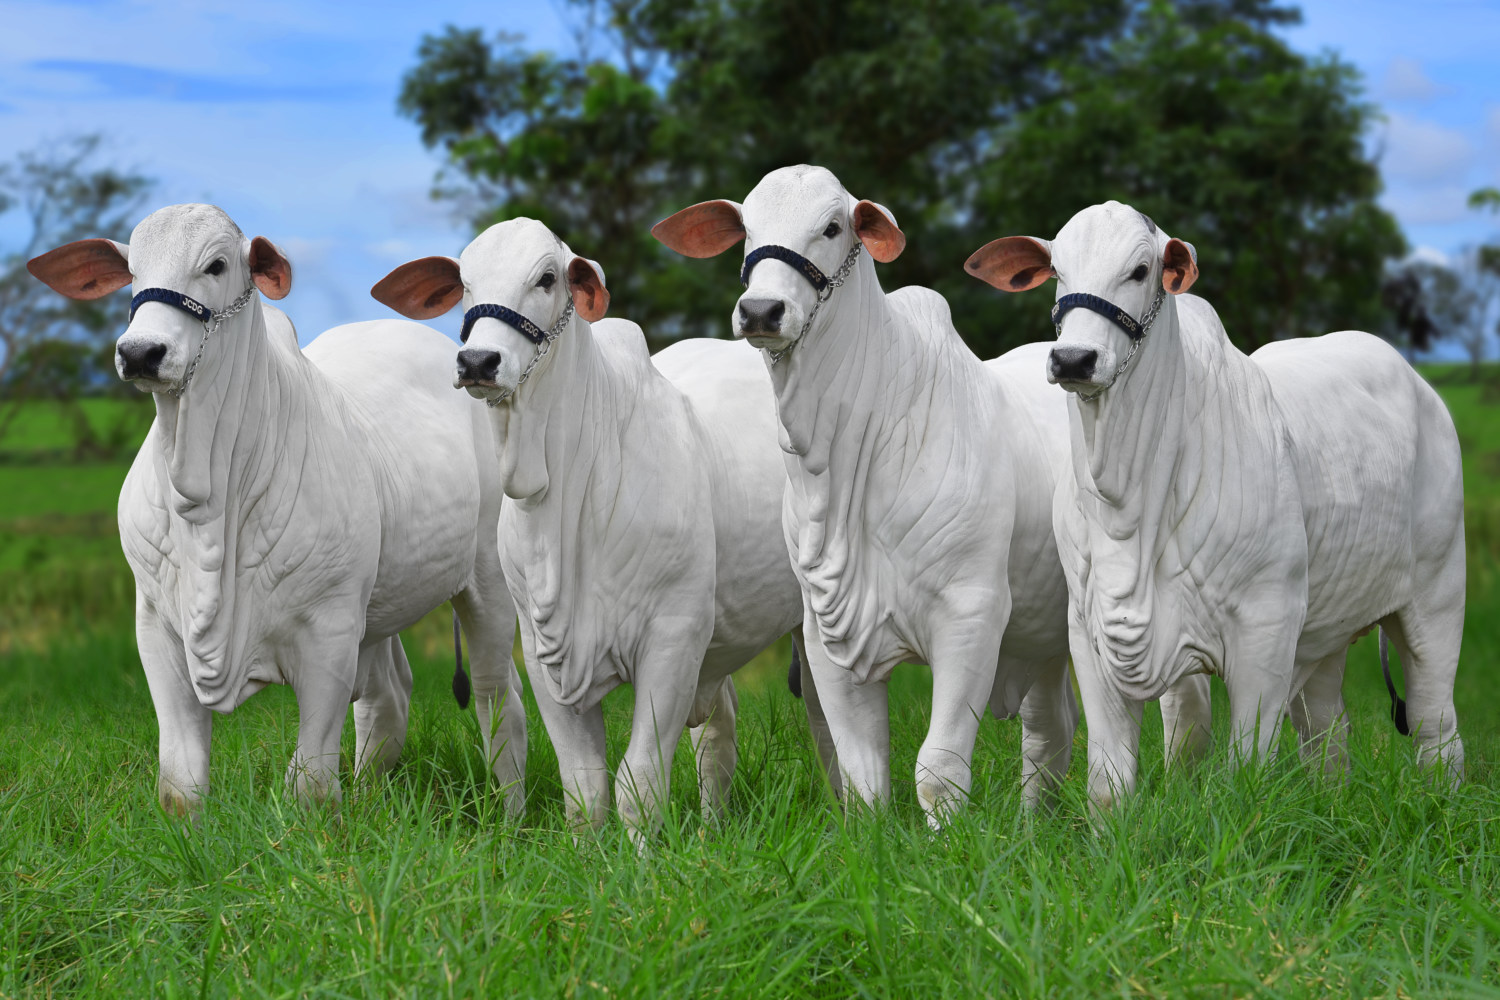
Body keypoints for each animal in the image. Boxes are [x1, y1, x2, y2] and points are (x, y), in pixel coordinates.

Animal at [24, 205, 534, 821]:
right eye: (132, 271)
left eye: (217, 265)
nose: (140, 352)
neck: (207, 500)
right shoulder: (155, 628)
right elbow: (180, 786)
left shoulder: (330, 631)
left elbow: (309, 785)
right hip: (381, 603)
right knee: (389, 695)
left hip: (486, 582)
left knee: (496, 696)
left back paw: (510, 816)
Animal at [372, 220, 822, 845]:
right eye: (464, 282)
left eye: (546, 277)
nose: (478, 361)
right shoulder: (544, 656)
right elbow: (584, 789)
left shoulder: (674, 638)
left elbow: (638, 781)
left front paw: (640, 858)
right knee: (719, 731)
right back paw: (713, 830)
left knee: (823, 722)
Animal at [651, 162, 1086, 821]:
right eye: (747, 229)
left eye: (833, 226)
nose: (761, 310)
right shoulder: (826, 637)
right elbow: (863, 779)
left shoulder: (972, 615)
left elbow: (937, 771)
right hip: (1041, 640)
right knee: (1050, 732)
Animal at [960, 199, 1464, 809]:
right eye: (1057, 270)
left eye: (1141, 270)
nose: (1074, 359)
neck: (1129, 502)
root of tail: (1423, 388)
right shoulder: (1089, 630)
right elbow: (1110, 783)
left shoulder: (1267, 631)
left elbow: (1244, 770)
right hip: (1327, 631)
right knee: (1326, 731)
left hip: (1437, 597)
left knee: (1438, 728)